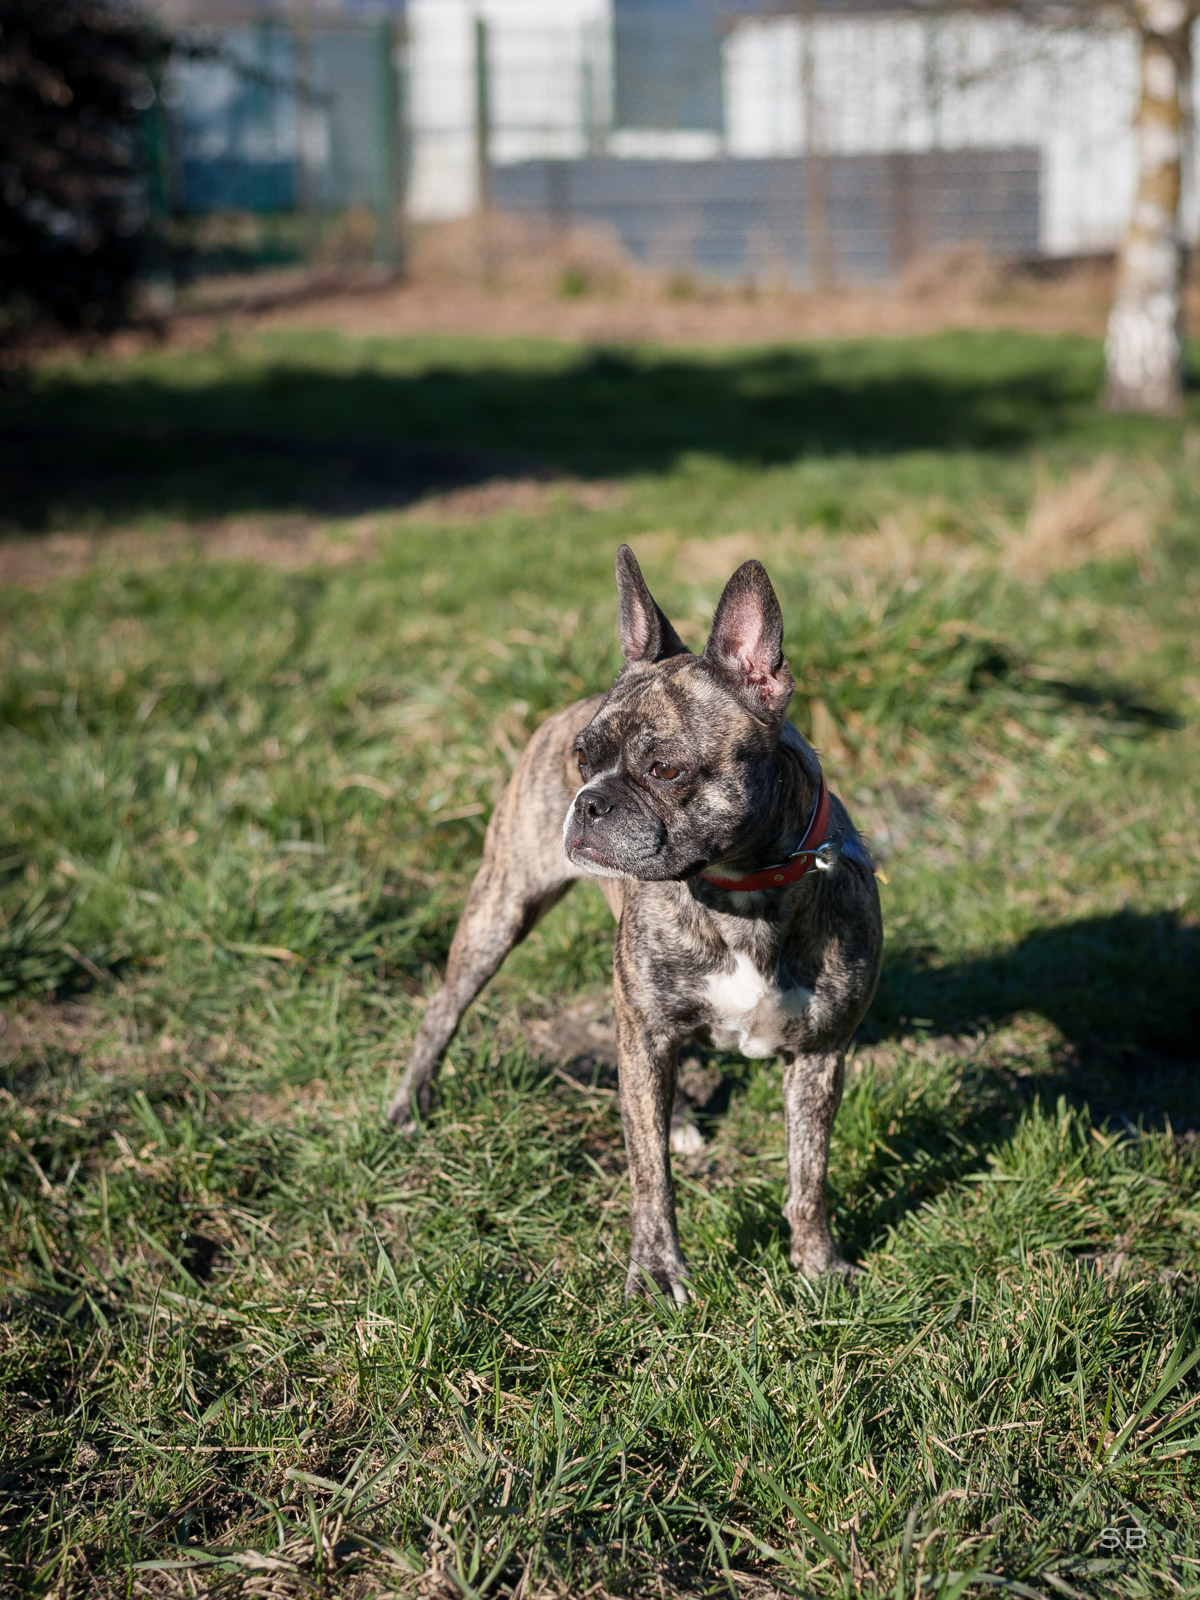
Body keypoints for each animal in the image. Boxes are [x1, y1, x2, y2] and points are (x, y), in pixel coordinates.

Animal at [390, 547, 889, 1299]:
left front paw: (818, 1264)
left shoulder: (821, 1055)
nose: (588, 801)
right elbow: (650, 1175)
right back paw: (409, 1104)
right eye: (583, 759)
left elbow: (810, 1174)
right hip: (501, 912)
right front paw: (656, 1271)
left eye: (666, 769)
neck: (742, 891)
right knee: (444, 1009)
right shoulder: (647, 1032)